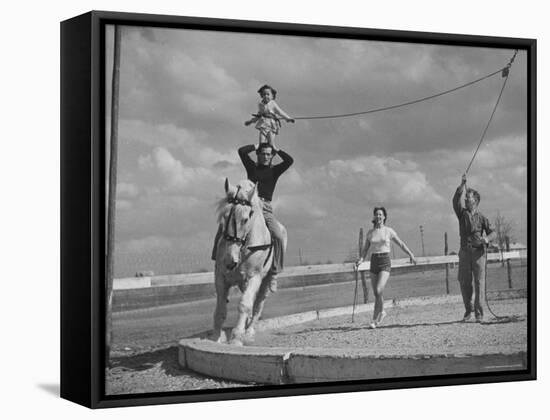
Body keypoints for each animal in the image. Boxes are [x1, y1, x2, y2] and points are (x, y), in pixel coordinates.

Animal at [212, 177, 286, 344]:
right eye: (223, 217)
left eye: (245, 220)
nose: (229, 260)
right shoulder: (220, 277)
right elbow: (220, 309)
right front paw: (216, 338)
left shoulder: (255, 277)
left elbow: (244, 305)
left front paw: (237, 337)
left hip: (264, 283)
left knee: (258, 305)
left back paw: (249, 332)